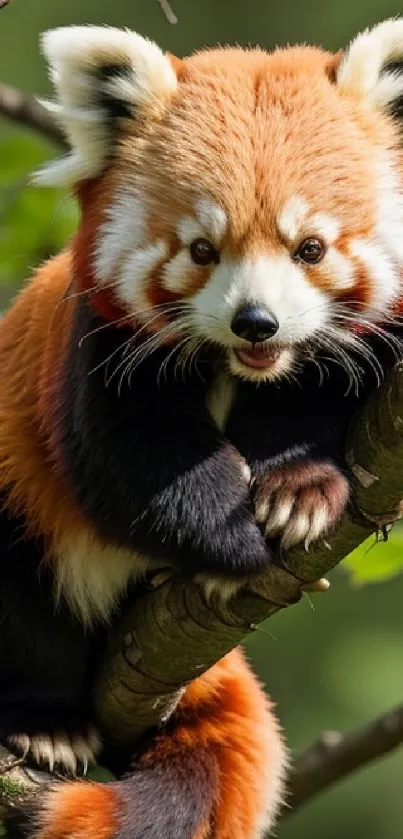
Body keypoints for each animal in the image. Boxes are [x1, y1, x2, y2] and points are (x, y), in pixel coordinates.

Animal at [2, 16, 403, 839]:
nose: (257, 321)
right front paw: (233, 545)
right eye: (200, 250)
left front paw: (297, 492)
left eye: (310, 248)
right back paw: (43, 720)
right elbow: (133, 464)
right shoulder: (99, 347)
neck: (240, 367)